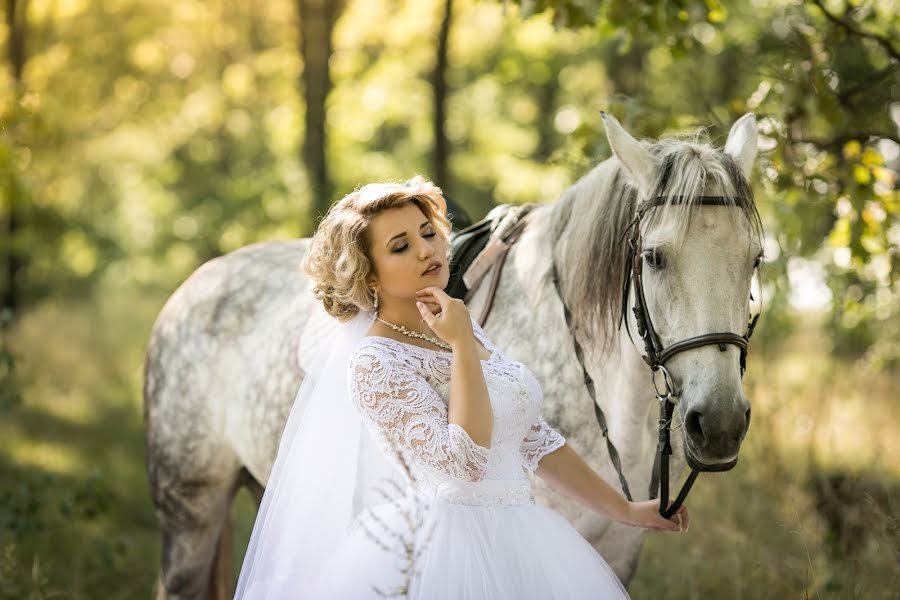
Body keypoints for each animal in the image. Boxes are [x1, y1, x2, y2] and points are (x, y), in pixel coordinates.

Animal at [144, 112, 764, 600]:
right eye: (655, 257)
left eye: (755, 258)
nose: (720, 424)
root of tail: (192, 287)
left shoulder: (615, 555)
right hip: (189, 511)